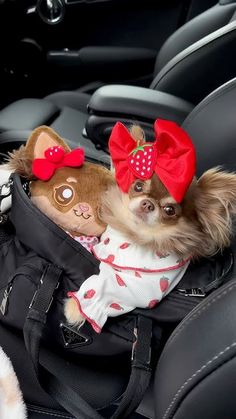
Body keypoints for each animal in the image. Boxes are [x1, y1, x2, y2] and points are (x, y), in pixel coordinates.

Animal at [64, 120, 236, 334]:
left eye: (170, 210)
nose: (148, 204)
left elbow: (107, 287)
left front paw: (75, 309)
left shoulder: (137, 287)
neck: (134, 235)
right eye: (138, 186)